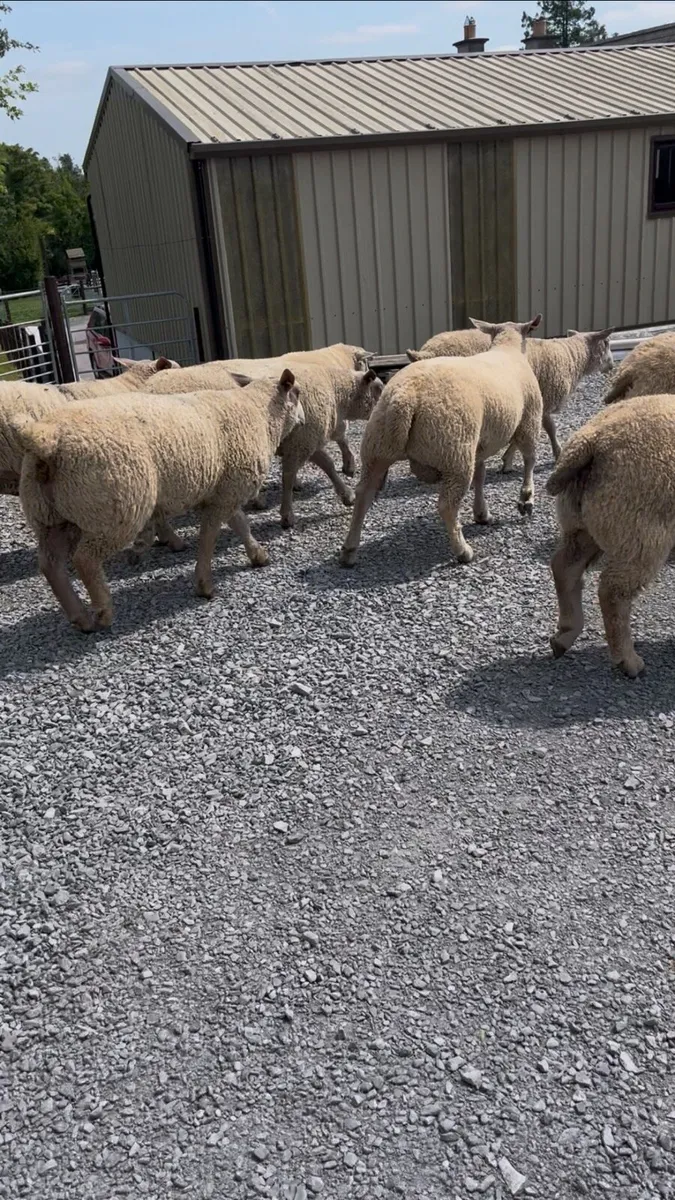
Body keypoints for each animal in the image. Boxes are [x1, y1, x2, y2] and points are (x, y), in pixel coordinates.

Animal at [10, 370, 304, 631]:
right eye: (298, 393)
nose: (303, 420)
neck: (259, 414)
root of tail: (47, 440)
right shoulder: (227, 492)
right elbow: (209, 537)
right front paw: (205, 584)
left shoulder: (224, 491)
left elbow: (240, 524)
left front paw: (258, 555)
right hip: (113, 510)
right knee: (84, 560)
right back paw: (103, 612)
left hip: (50, 515)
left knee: (50, 565)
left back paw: (80, 618)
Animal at [340, 316, 543, 568]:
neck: (508, 349)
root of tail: (406, 398)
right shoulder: (530, 419)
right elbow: (529, 460)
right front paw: (526, 499)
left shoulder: (479, 445)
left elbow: (481, 476)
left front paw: (482, 513)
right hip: (455, 452)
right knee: (447, 506)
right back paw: (463, 550)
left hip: (377, 447)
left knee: (363, 494)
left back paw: (349, 551)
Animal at [408, 326, 614, 466]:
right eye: (606, 343)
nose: (612, 365)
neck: (571, 357)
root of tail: (425, 353)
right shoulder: (543, 401)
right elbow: (549, 429)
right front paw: (557, 452)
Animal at [546, 394, 675, 677]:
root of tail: (592, 440)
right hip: (640, 533)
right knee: (613, 592)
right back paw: (627, 661)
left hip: (585, 523)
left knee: (565, 567)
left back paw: (564, 636)